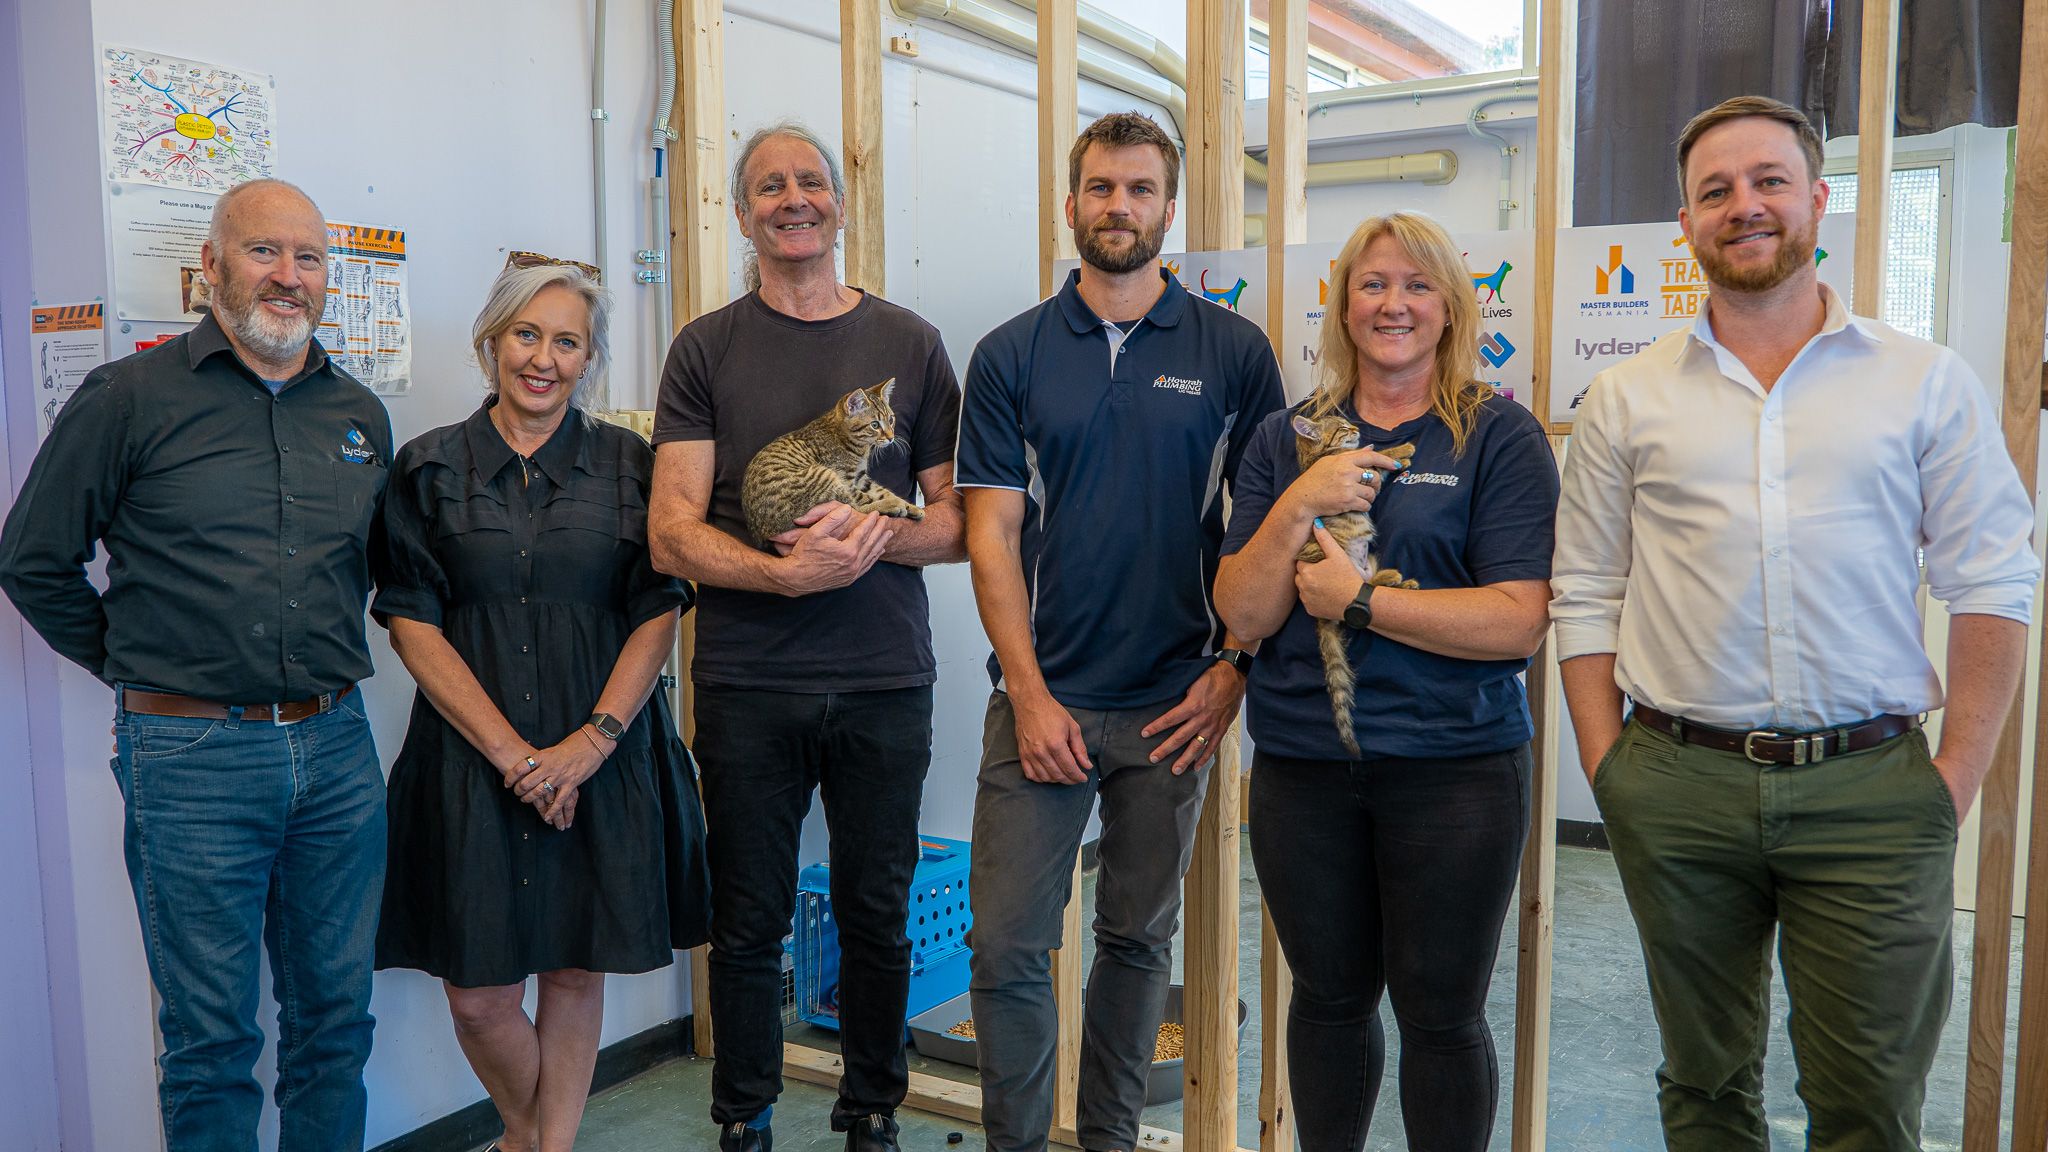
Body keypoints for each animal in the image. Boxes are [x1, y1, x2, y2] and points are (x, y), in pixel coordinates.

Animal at [741, 375, 925, 541]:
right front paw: (896, 504)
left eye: (891, 419)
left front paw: (910, 506)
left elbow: (882, 491)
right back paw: (889, 507)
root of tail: (761, 532)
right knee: (852, 507)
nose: (891, 437)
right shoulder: (845, 478)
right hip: (823, 475)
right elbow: (861, 499)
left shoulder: (861, 478)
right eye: (875, 425)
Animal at [1286, 407, 1417, 758]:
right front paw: (1400, 451)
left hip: (1369, 562)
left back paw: (1402, 582)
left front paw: (1399, 456)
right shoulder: (1356, 474)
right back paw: (1395, 577)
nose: (1357, 429)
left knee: (1373, 585)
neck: (1320, 457)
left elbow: (1376, 463)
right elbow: (1377, 460)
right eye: (1343, 427)